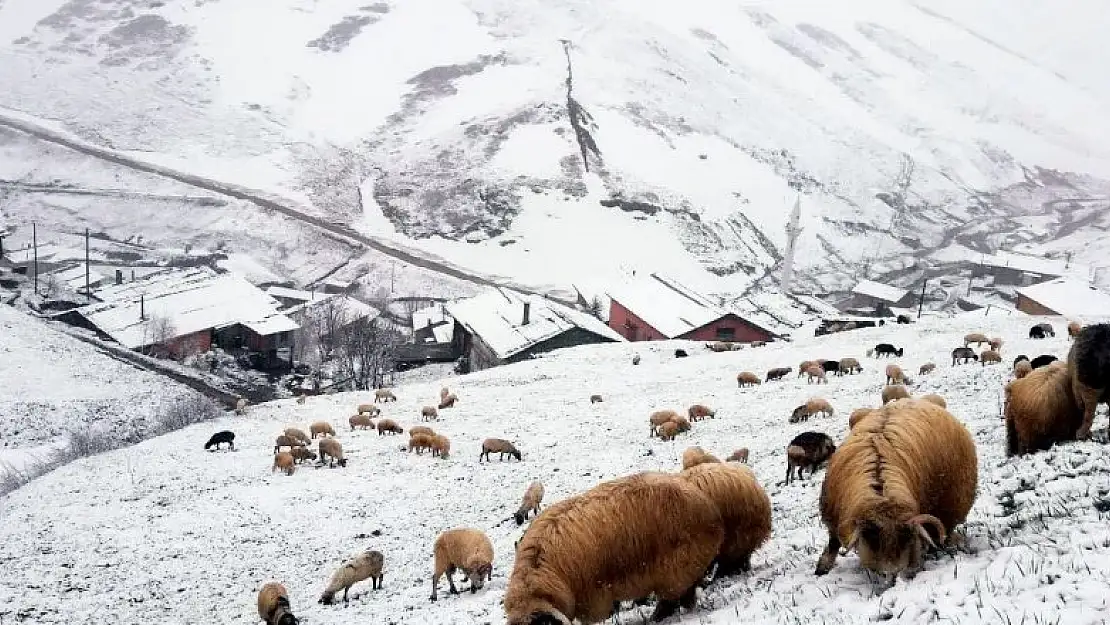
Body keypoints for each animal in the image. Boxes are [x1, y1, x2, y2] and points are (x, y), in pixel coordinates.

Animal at [812, 399, 976, 581]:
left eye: (905, 539)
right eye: (873, 538)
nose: (891, 575)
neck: (883, 493)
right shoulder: (833, 521)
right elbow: (832, 545)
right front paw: (822, 569)